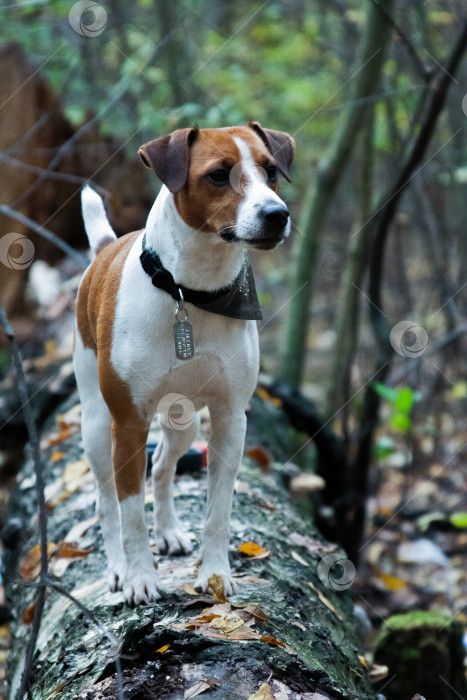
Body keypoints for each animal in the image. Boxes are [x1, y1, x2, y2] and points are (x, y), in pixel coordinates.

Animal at [74, 123, 294, 604]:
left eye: (271, 171)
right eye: (218, 175)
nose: (277, 214)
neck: (190, 294)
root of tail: (104, 250)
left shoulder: (230, 418)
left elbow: (218, 511)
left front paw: (215, 575)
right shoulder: (128, 424)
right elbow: (130, 513)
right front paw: (140, 578)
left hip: (185, 422)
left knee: (162, 466)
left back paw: (170, 532)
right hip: (96, 425)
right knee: (105, 501)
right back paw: (117, 567)